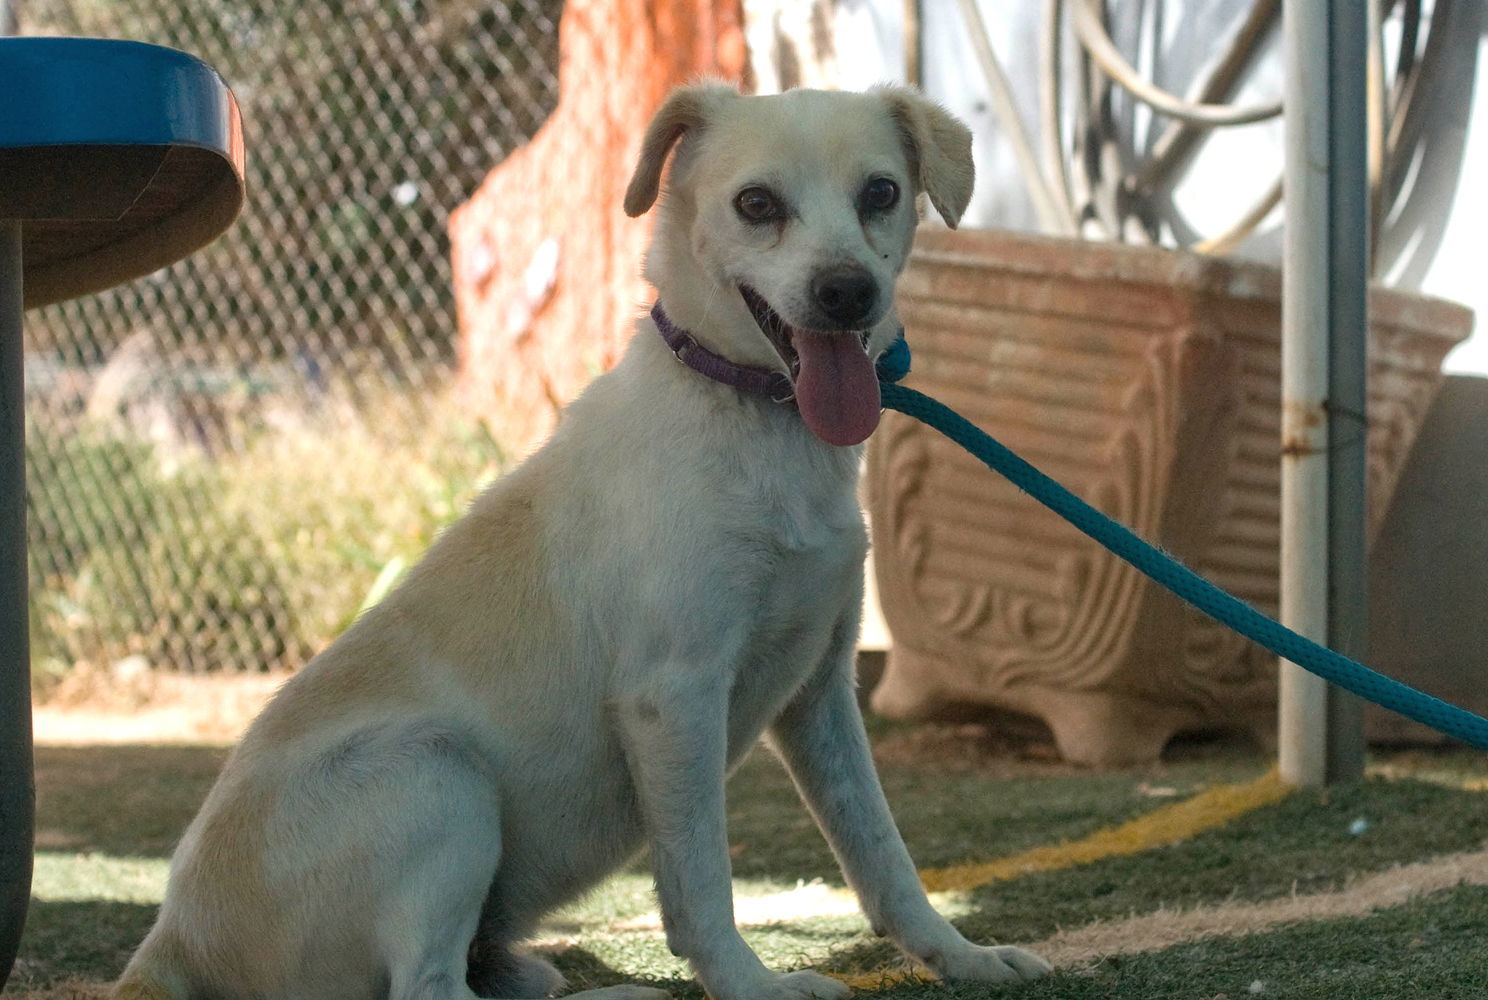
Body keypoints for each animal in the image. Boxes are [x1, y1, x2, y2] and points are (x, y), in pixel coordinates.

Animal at [113, 81, 1047, 994]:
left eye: (880, 192)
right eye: (757, 203)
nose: (848, 291)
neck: (758, 424)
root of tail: (170, 947)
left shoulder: (820, 690)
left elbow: (884, 858)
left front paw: (964, 956)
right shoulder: (674, 696)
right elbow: (700, 880)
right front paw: (752, 985)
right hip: (434, 774)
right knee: (427, 987)